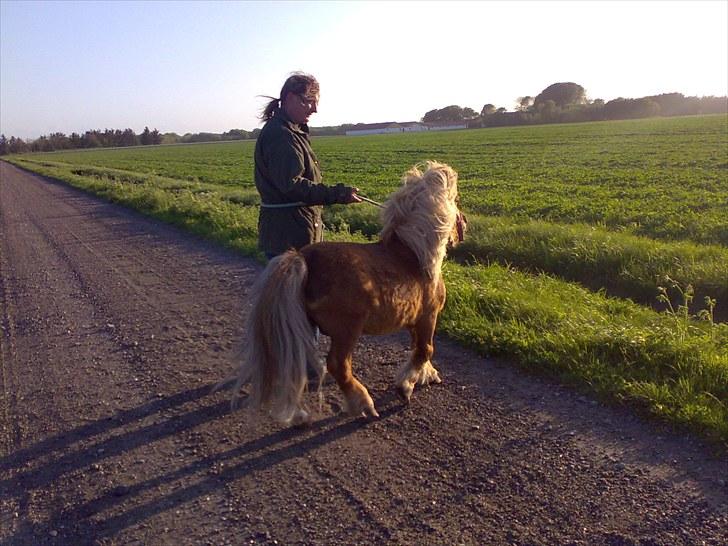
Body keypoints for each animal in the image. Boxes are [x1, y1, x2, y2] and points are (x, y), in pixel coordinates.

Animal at [230, 159, 464, 422]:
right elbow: (425, 350)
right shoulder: (428, 317)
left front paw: (425, 375)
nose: (463, 226)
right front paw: (406, 386)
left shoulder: (414, 321)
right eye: (456, 201)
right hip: (347, 332)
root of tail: (303, 259)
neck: (412, 256)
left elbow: (419, 350)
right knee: (338, 365)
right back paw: (362, 404)